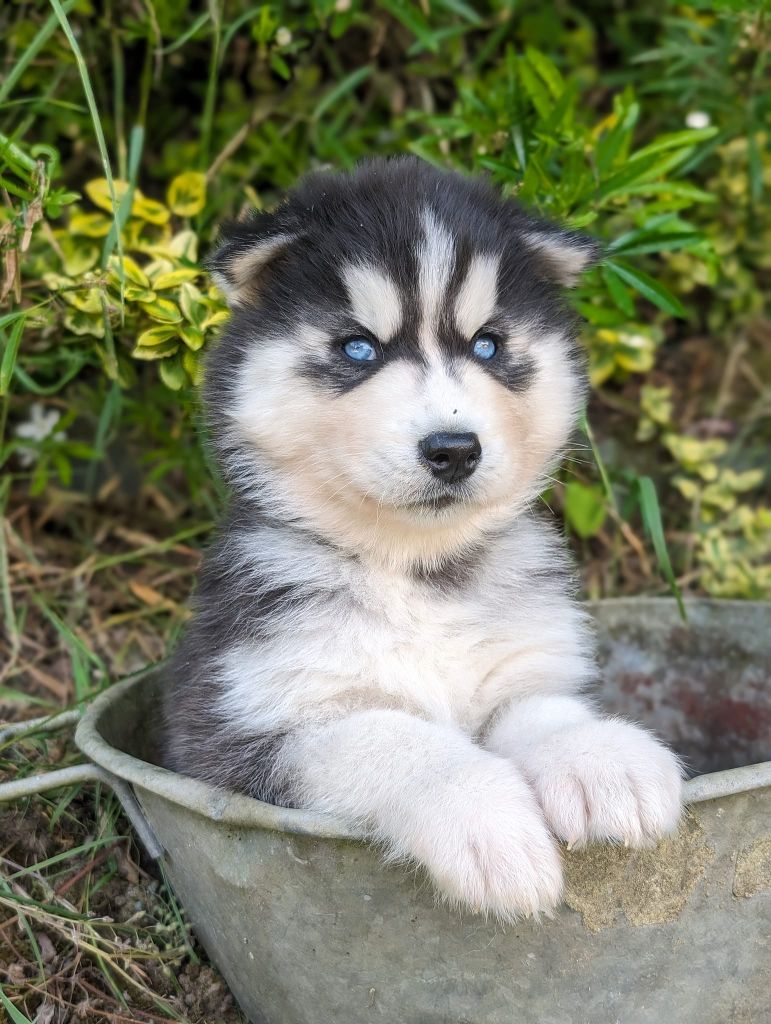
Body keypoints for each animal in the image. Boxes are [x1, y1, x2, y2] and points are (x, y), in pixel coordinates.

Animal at [162, 156, 683, 920]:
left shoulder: (518, 666)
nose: (453, 449)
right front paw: (487, 823)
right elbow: (395, 736)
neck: (417, 571)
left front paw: (599, 759)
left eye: (488, 345)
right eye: (358, 347)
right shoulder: (244, 729)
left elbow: (540, 709)